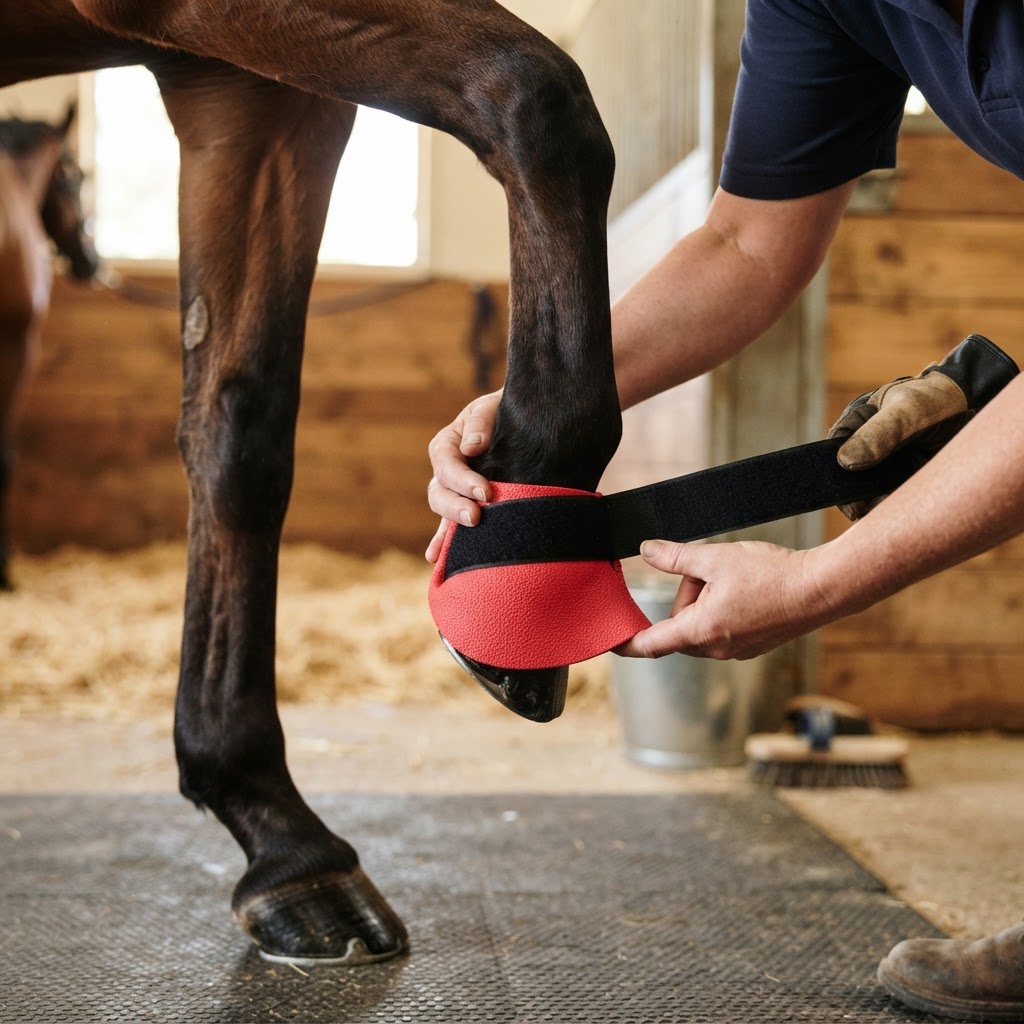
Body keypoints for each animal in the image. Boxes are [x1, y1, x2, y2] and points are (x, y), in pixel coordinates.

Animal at [2, 0, 619, 964]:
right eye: (74, 176)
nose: (93, 262)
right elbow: (540, 101)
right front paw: (525, 570)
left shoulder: (247, 94)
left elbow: (239, 433)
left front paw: (279, 836)